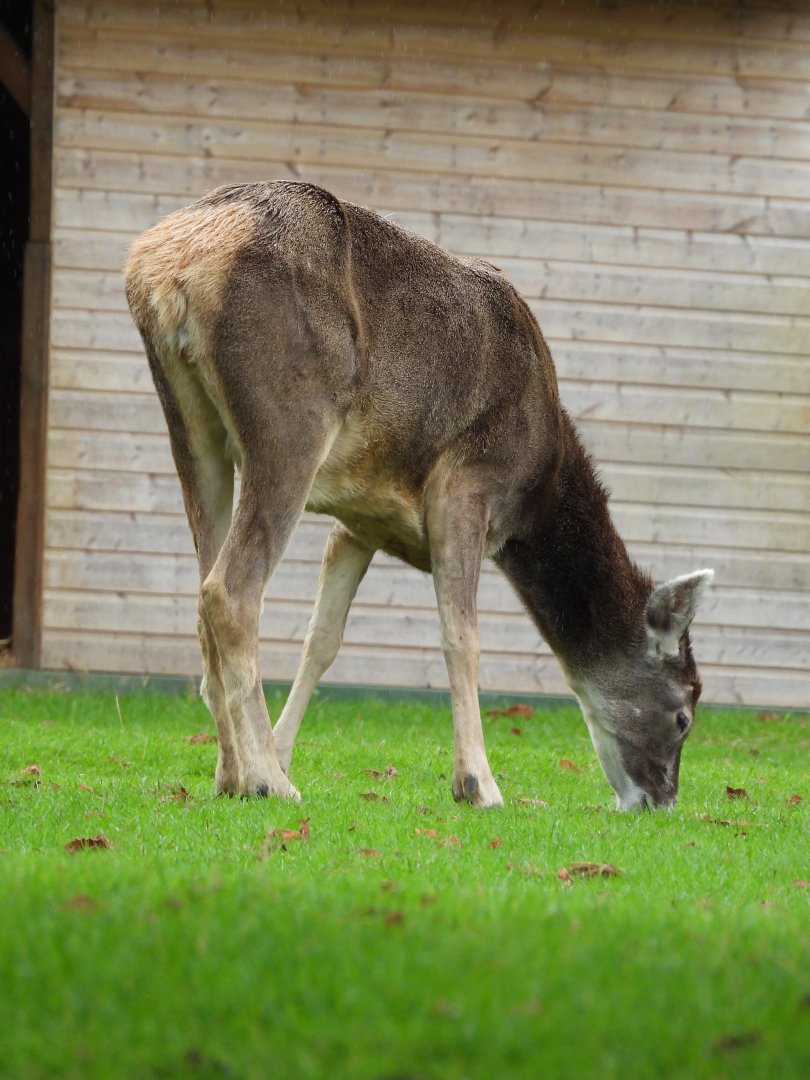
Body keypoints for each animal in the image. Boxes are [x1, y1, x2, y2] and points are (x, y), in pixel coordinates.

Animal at [124, 180, 713, 811]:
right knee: (230, 591)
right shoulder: (465, 484)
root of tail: (166, 266)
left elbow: (322, 639)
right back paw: (266, 781)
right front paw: (478, 783)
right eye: (684, 713)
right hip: (291, 418)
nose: (661, 800)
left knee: (202, 588)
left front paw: (283, 751)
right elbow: (463, 637)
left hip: (190, 423)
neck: (536, 491)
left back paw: (233, 774)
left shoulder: (359, 521)